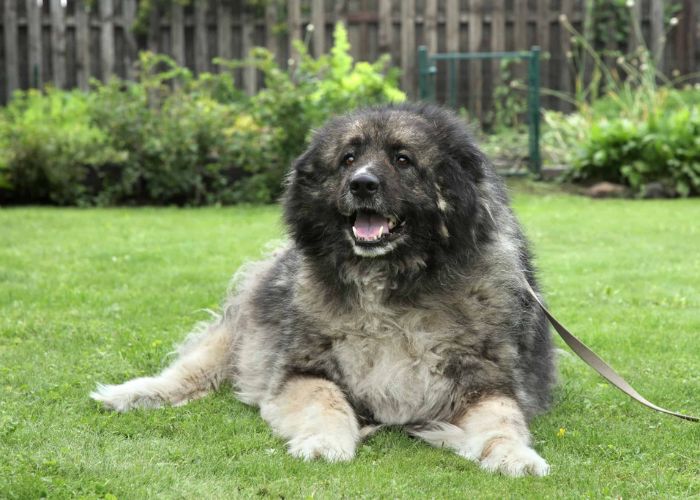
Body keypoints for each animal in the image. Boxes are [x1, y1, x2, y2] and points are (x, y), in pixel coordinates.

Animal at [91, 104, 552, 476]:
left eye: (403, 159)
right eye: (348, 158)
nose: (362, 184)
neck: (390, 286)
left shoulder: (487, 385)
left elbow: (503, 422)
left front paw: (514, 456)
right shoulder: (302, 371)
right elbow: (327, 403)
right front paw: (324, 443)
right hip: (240, 335)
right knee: (189, 371)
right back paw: (131, 394)